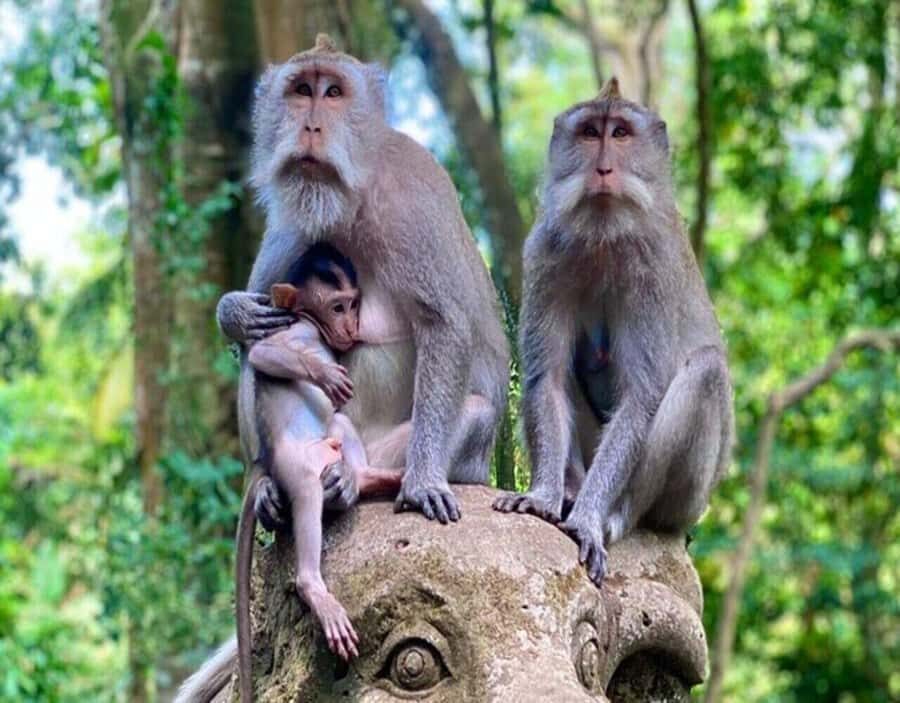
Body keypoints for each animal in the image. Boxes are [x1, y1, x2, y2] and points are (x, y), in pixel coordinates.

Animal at [216, 34, 509, 528]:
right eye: (301, 90)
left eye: (334, 92)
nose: (312, 126)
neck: (346, 201)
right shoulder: (290, 227)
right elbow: (255, 329)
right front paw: (233, 312)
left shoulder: (413, 201)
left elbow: (444, 324)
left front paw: (424, 480)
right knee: (261, 350)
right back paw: (271, 485)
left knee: (472, 412)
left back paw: (354, 482)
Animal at [493, 78, 734, 587]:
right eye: (590, 133)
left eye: (620, 133)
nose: (603, 168)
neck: (604, 237)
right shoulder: (544, 254)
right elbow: (548, 381)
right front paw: (542, 497)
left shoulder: (653, 270)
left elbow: (641, 398)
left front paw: (587, 520)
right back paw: (569, 489)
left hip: (690, 501)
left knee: (705, 372)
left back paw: (616, 515)